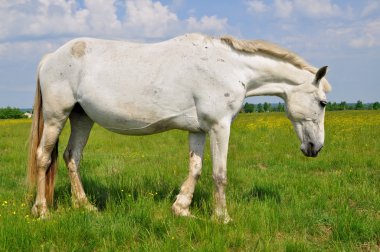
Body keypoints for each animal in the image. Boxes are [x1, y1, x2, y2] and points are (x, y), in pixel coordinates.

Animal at [27, 33, 330, 222]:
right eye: (323, 102)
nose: (315, 147)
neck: (229, 67)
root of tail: (51, 57)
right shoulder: (220, 126)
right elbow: (219, 174)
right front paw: (222, 218)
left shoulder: (198, 130)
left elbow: (195, 168)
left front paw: (182, 209)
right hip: (56, 116)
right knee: (43, 158)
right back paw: (42, 211)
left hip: (81, 117)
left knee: (72, 157)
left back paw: (85, 206)